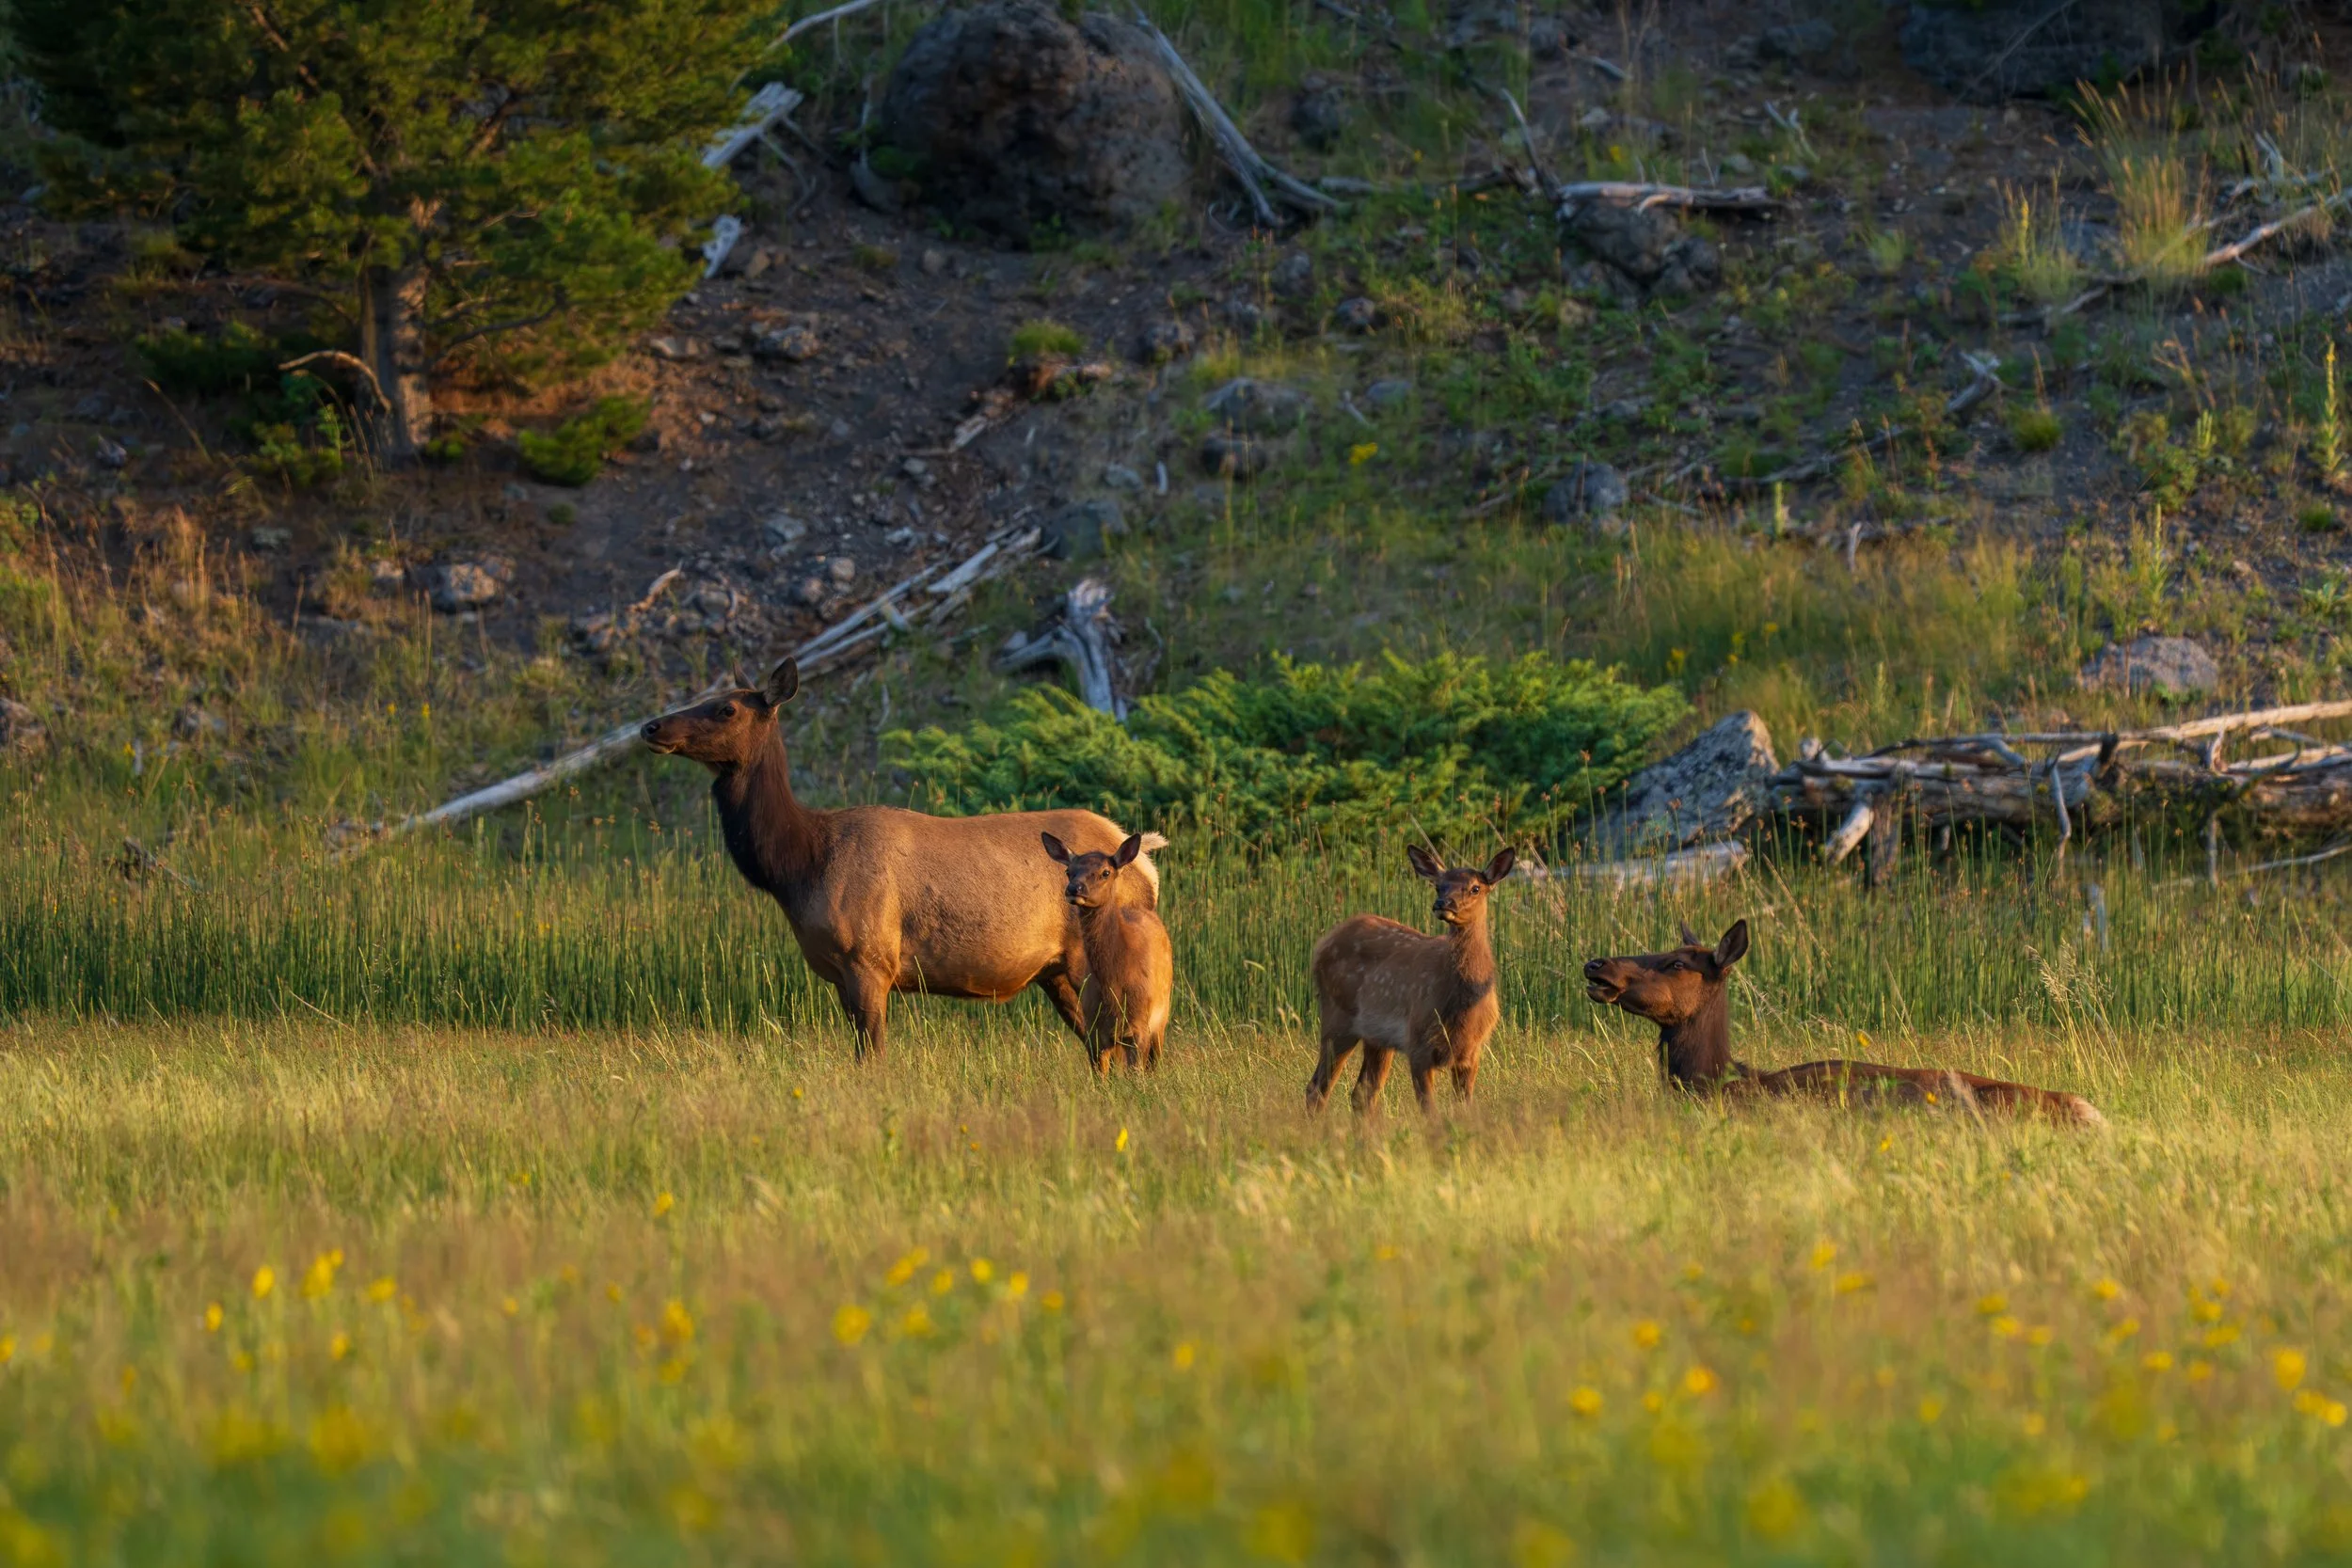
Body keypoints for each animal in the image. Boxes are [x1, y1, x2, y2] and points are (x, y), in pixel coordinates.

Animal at [640, 658, 1165, 1059]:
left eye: (726, 707)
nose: (650, 725)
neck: (801, 866)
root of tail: (1146, 862)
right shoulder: (839, 975)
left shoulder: (869, 959)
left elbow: (871, 1057)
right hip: (1054, 972)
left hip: (1090, 961)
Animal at [1041, 832, 1173, 1073]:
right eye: (1068, 871)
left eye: (1105, 872)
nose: (1074, 888)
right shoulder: (1095, 1032)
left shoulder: (1139, 1027)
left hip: (1162, 1015)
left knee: (1154, 1062)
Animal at [1306, 845, 1516, 1114]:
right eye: (1438, 886)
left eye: (1475, 888)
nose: (1442, 903)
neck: (1462, 1007)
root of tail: (1322, 945)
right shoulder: (1418, 1044)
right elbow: (1430, 1111)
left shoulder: (1470, 1053)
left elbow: (1464, 1107)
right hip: (1337, 1018)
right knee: (1318, 1088)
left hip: (1376, 1038)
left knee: (1361, 1093)